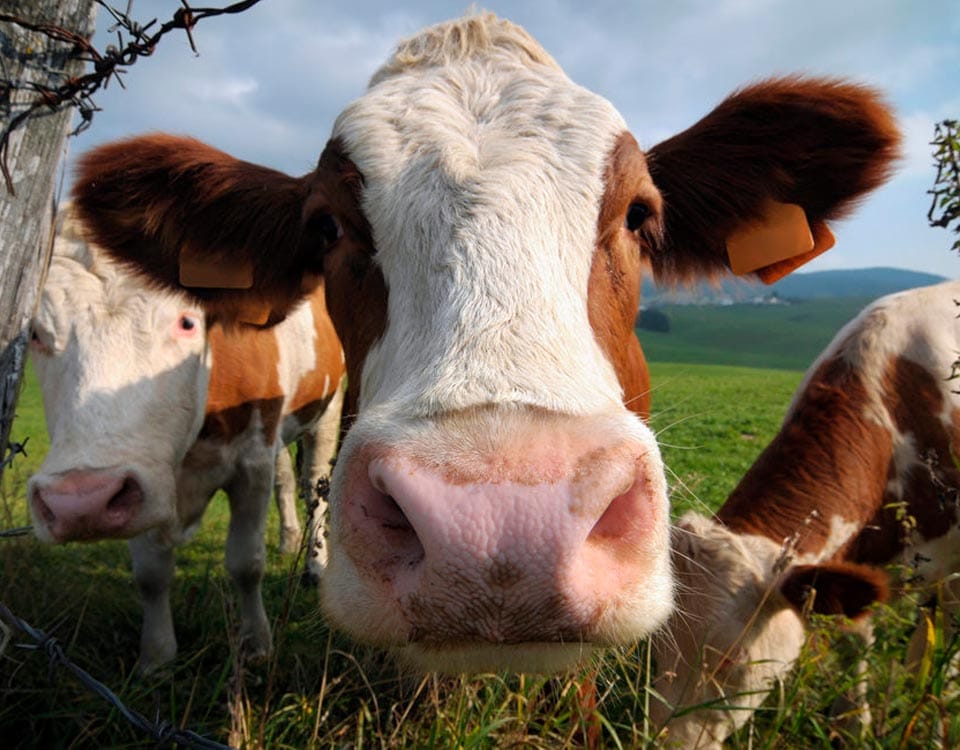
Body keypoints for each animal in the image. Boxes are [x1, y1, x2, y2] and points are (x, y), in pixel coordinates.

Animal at [27, 207, 345, 670]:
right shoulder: (145, 475)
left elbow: (246, 563)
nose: (81, 501)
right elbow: (151, 574)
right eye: (35, 333)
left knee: (314, 486)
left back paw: (316, 564)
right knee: (286, 478)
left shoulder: (250, 460)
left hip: (327, 407)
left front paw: (256, 644)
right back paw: (289, 539)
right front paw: (157, 657)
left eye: (186, 322)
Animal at [650, 280, 960, 748]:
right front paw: (851, 722)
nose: (662, 741)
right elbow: (854, 640)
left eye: (731, 661)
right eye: (654, 650)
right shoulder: (855, 559)